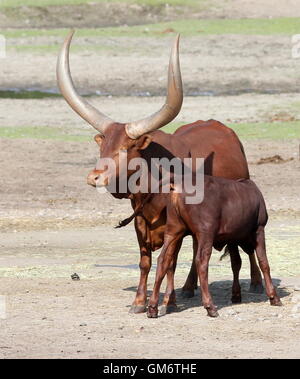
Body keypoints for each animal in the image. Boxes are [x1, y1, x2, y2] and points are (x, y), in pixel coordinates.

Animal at [146, 177, 282, 320]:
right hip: (205, 233)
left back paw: (152, 307)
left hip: (173, 230)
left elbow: (236, 263)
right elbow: (264, 262)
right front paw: (273, 296)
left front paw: (236, 294)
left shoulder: (232, 238)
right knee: (201, 262)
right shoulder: (259, 229)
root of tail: (178, 187)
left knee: (163, 260)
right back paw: (210, 306)